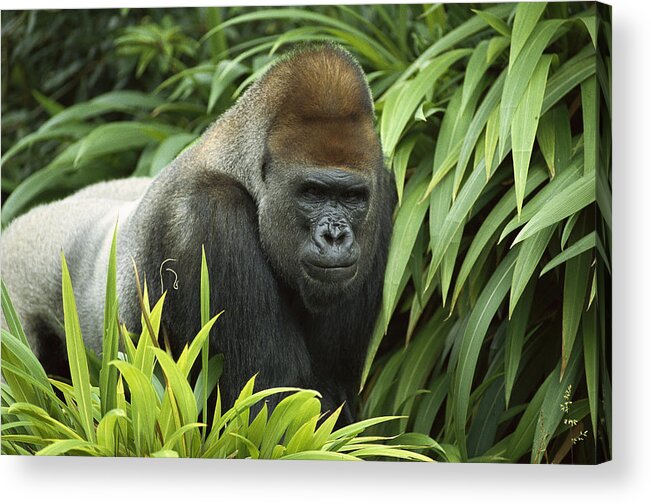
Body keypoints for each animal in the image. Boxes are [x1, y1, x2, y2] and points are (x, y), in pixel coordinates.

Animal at [0, 43, 398, 424]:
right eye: (312, 193)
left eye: (352, 197)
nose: (335, 237)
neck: (236, 164)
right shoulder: (212, 218)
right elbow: (270, 408)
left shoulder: (383, 194)